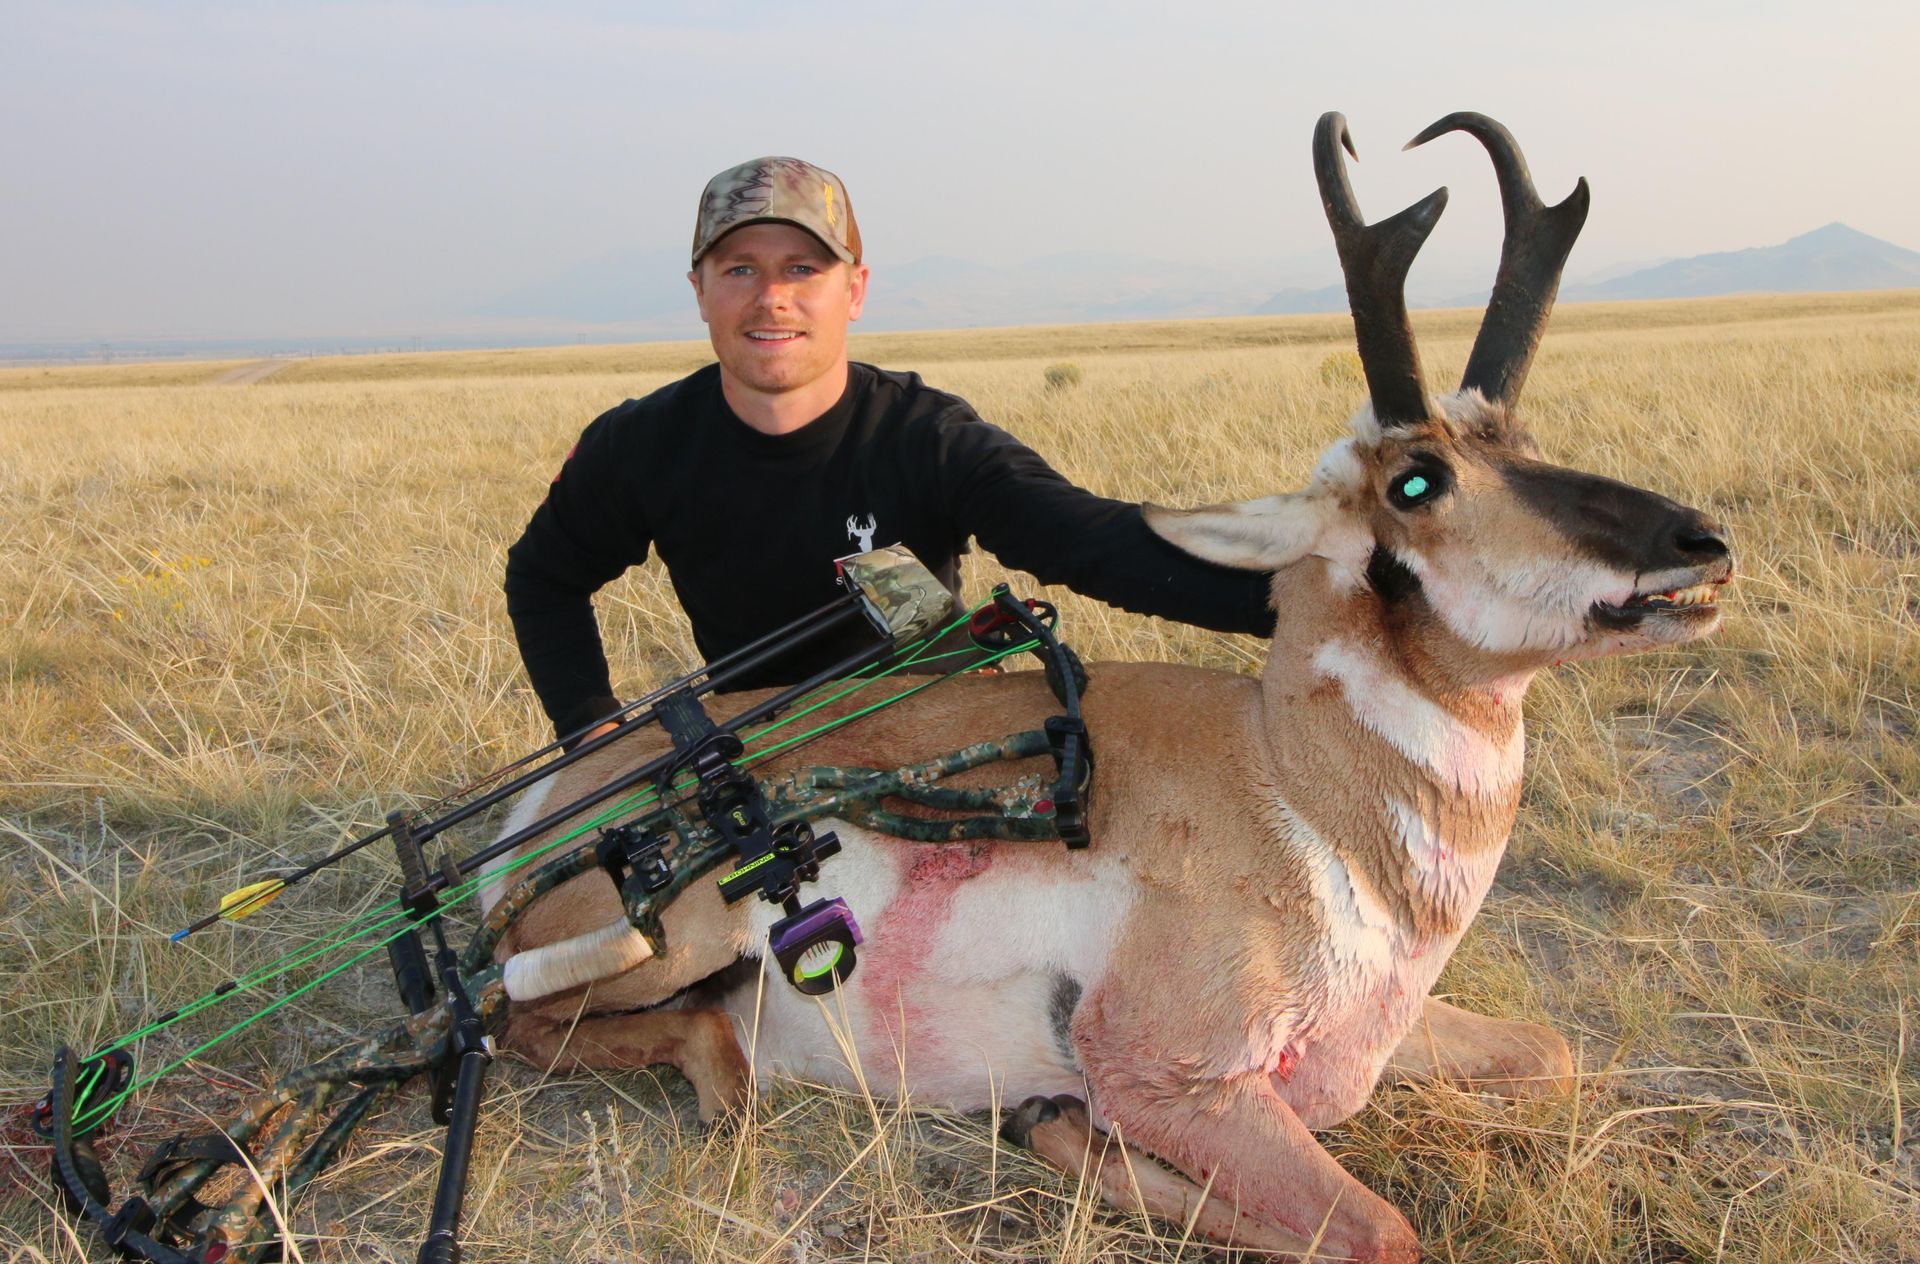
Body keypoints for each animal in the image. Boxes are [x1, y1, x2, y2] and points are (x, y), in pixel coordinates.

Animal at [479, 112, 1732, 1260]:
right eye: (1419, 480)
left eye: (1522, 438)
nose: (1702, 542)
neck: (1296, 791)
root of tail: (557, 794)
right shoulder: (1169, 1074)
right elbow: (1380, 1230)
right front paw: (1058, 1122)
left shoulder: (1372, 1043)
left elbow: (1552, 1053)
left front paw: (1057, 1126)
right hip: (670, 938)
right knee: (521, 1020)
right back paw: (725, 1071)